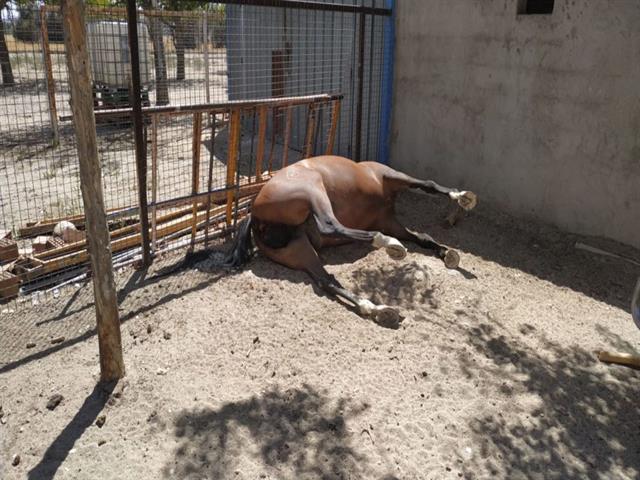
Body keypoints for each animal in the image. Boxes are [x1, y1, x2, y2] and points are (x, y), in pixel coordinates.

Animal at [222, 154, 472, 326]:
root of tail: (254, 215)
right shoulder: (393, 178)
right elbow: (428, 184)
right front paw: (464, 197)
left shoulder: (390, 222)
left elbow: (422, 238)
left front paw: (447, 254)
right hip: (313, 190)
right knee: (329, 225)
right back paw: (388, 245)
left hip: (299, 250)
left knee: (327, 281)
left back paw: (377, 309)